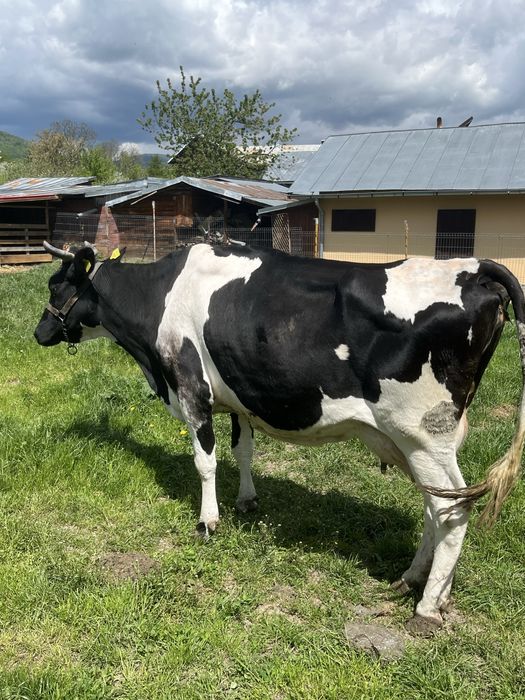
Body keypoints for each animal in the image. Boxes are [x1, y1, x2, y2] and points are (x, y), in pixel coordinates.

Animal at [34, 240, 525, 636]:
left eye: (56, 289)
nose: (39, 332)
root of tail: (475, 267)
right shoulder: (238, 397)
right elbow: (243, 450)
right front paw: (247, 500)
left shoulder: (192, 390)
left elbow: (205, 461)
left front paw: (207, 522)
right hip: (426, 440)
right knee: (436, 506)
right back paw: (416, 582)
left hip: (421, 432)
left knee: (451, 510)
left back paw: (426, 607)